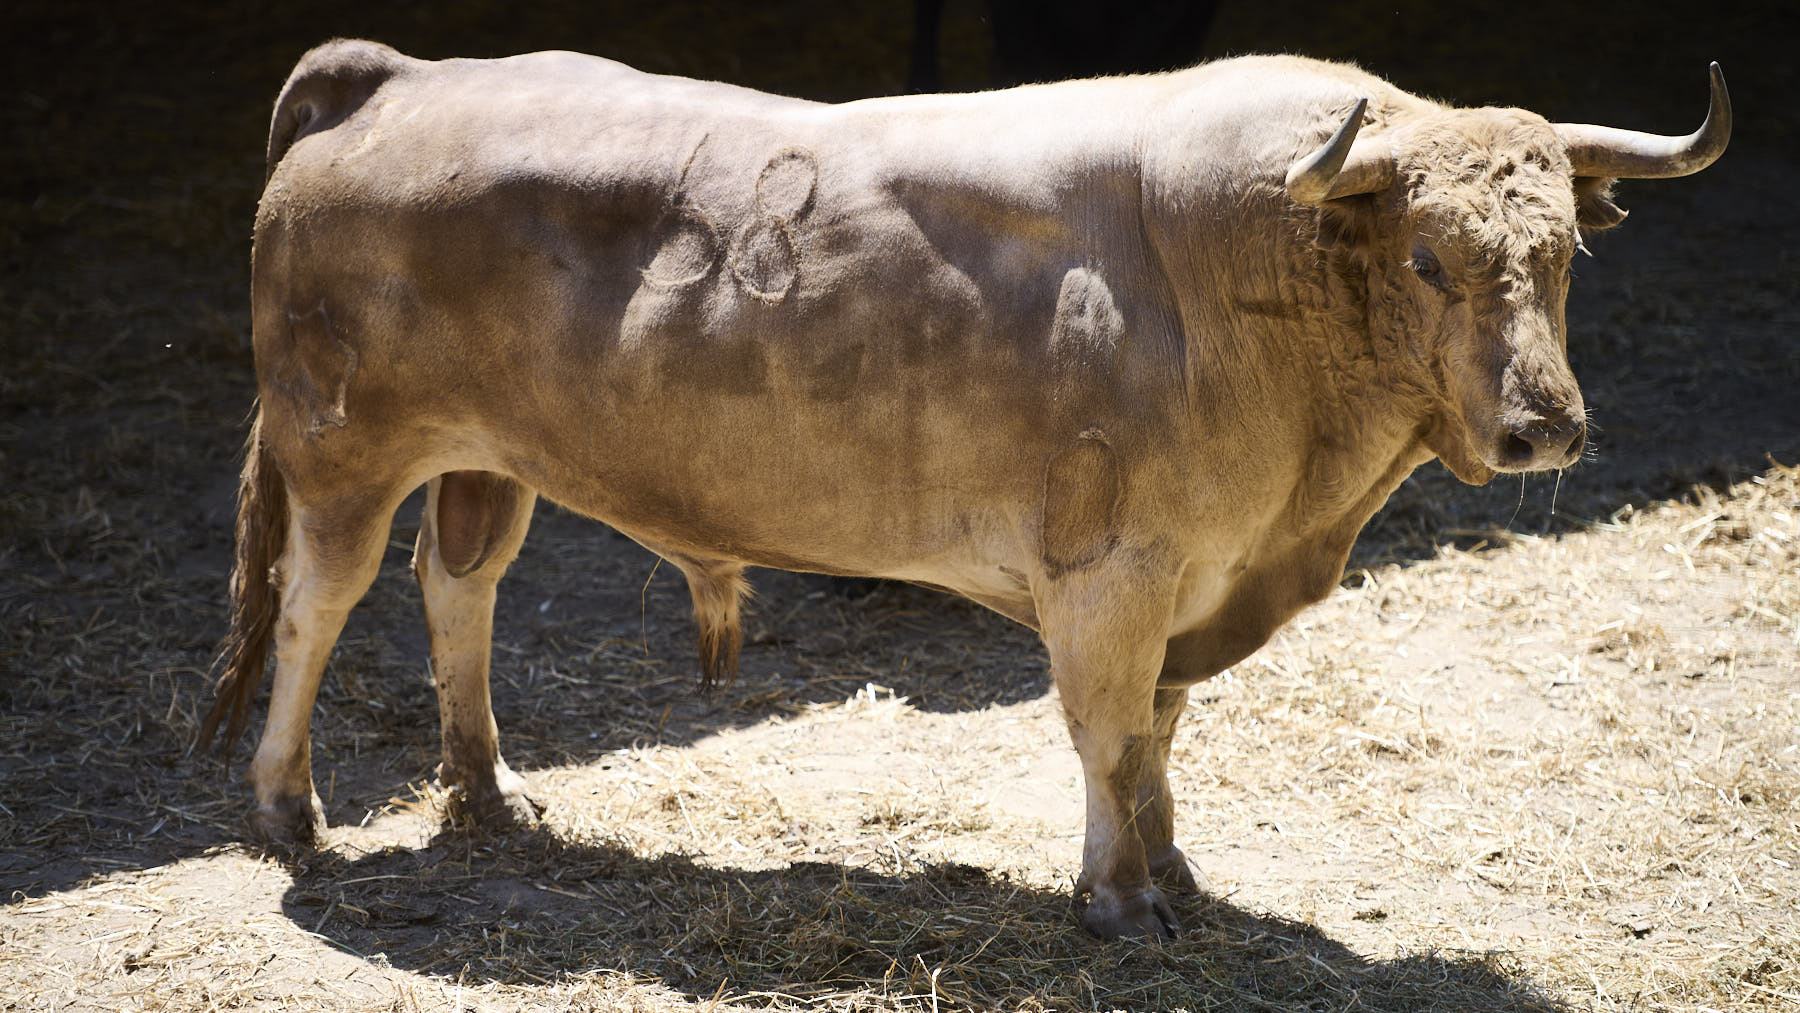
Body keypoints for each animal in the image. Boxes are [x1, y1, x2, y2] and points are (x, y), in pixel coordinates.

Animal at [200, 43, 1728, 942]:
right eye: (1426, 257)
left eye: (1565, 254)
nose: (1543, 431)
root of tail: (399, 77)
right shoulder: (1113, 570)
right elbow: (1108, 730)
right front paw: (1117, 897)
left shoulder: (1192, 578)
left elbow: (1158, 732)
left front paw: (1172, 866)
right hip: (345, 454)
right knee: (315, 608)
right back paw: (286, 809)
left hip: (484, 462)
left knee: (458, 590)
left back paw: (484, 790)